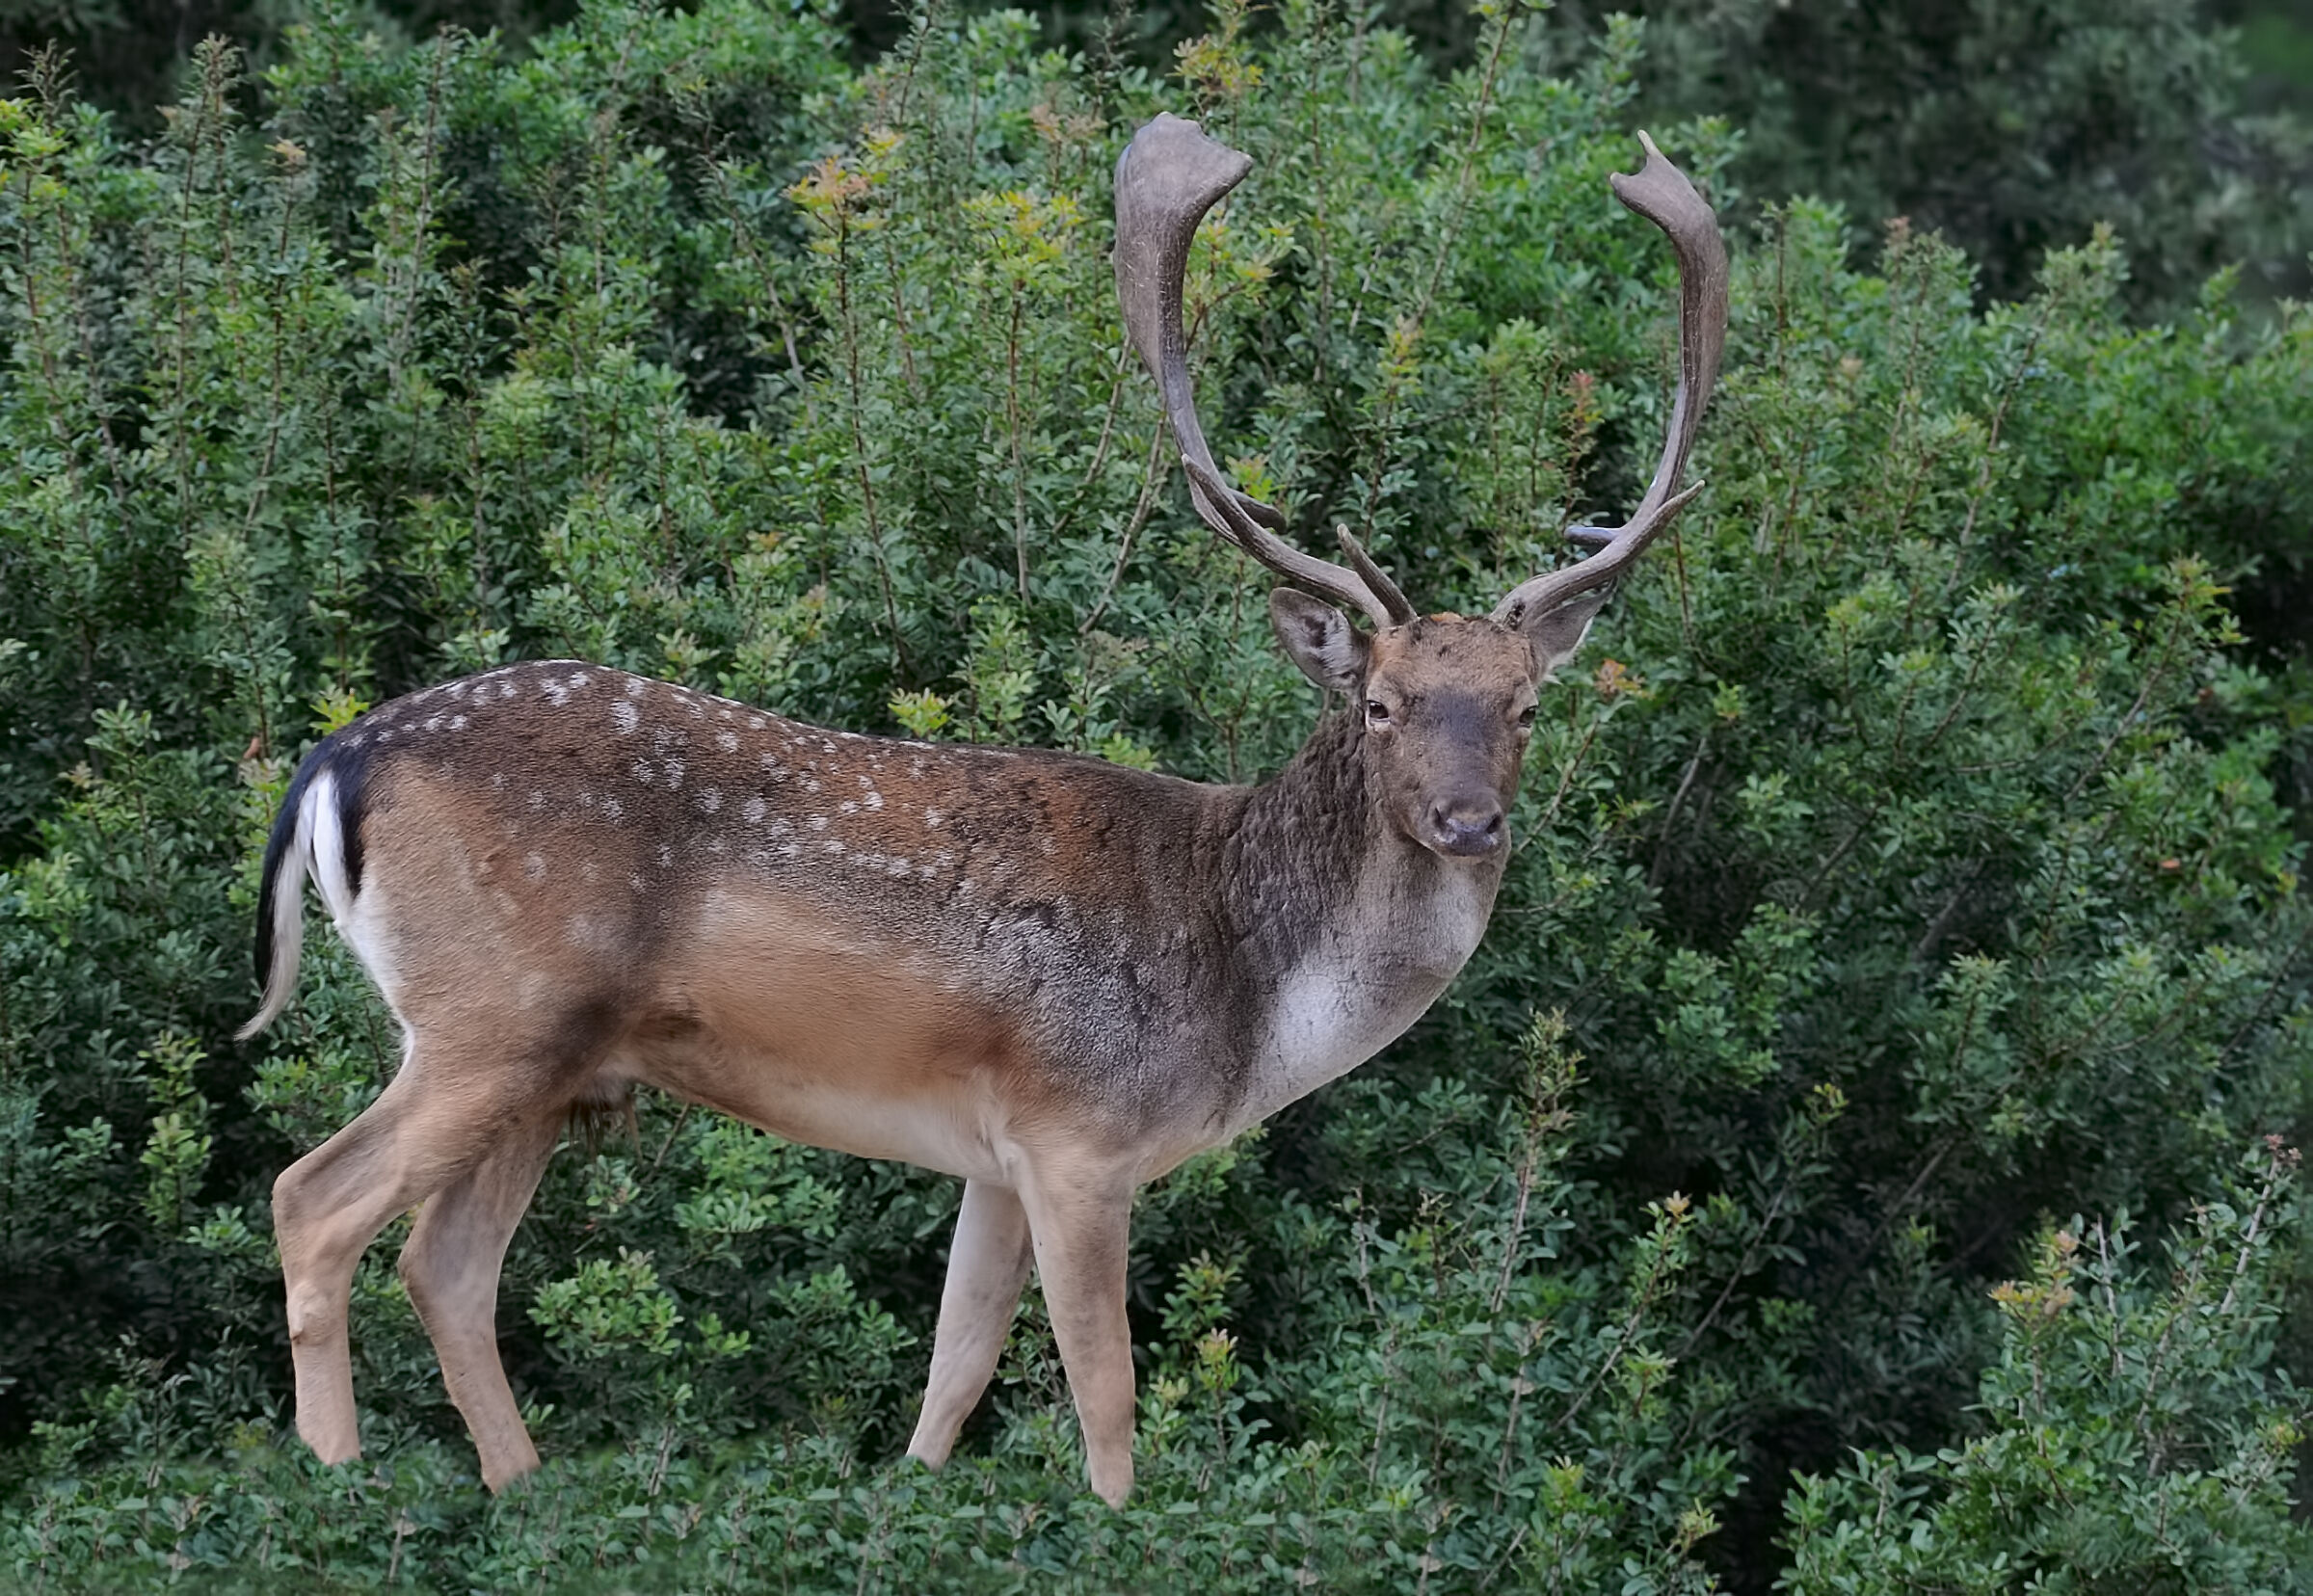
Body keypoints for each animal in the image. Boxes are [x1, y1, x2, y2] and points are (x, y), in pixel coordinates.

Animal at [236, 113, 1726, 1508]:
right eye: (1380, 704)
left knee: (444, 1265)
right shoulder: (1082, 1137)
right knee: (313, 1203)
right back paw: (334, 1484)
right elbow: (1106, 1399)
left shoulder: (996, 1160)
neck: (1246, 991)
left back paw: (520, 1493)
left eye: (1524, 705)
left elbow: (951, 1370)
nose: (1468, 822)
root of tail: (331, 763)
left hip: (551, 1064)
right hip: (491, 1015)